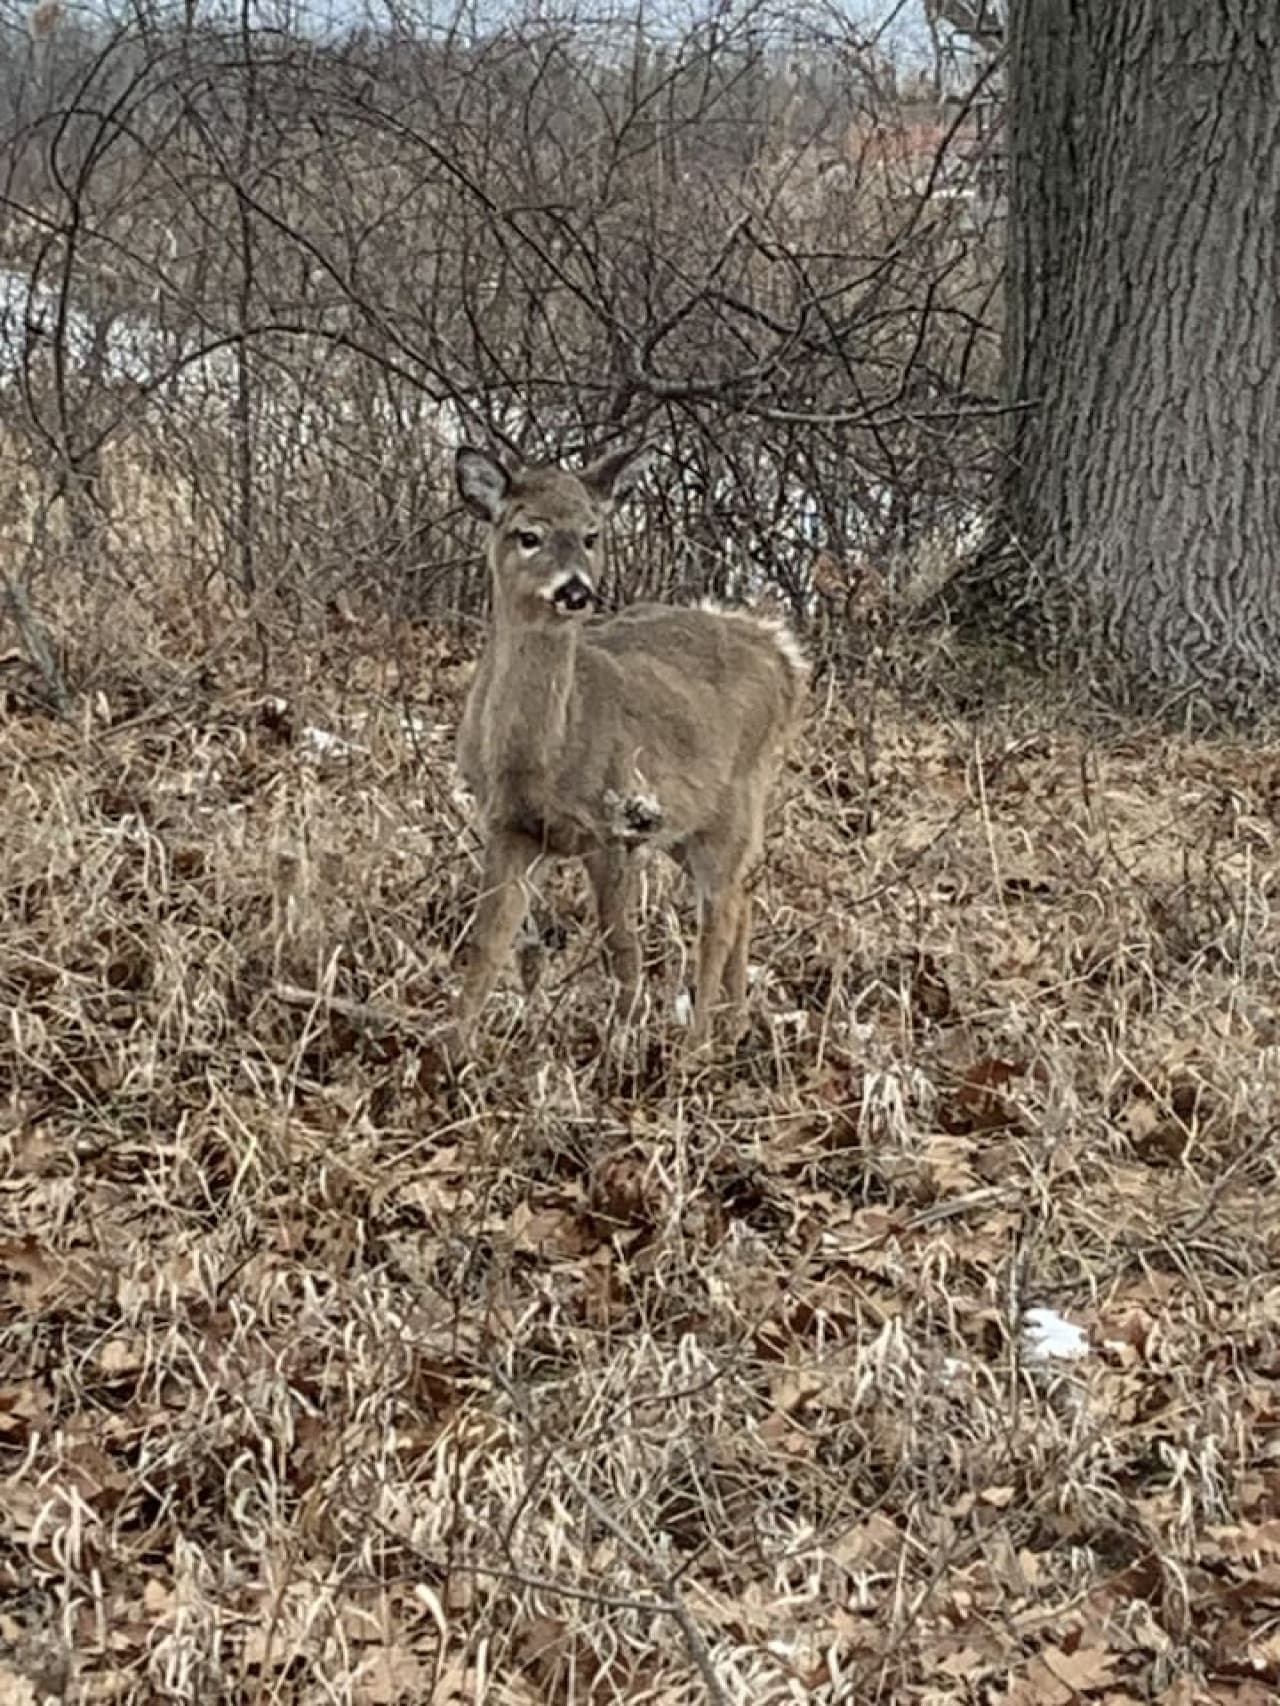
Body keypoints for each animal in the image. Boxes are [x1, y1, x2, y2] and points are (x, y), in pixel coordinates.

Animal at [450, 441, 807, 1055]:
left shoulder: (612, 828)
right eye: (528, 534)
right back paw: (735, 1026)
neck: (542, 754)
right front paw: (454, 1048)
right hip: (683, 827)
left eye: (592, 534)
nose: (576, 591)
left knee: (721, 912)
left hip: (735, 803)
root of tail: (780, 653)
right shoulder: (510, 825)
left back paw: (695, 1048)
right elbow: (493, 943)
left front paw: (618, 1049)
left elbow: (622, 951)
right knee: (743, 898)